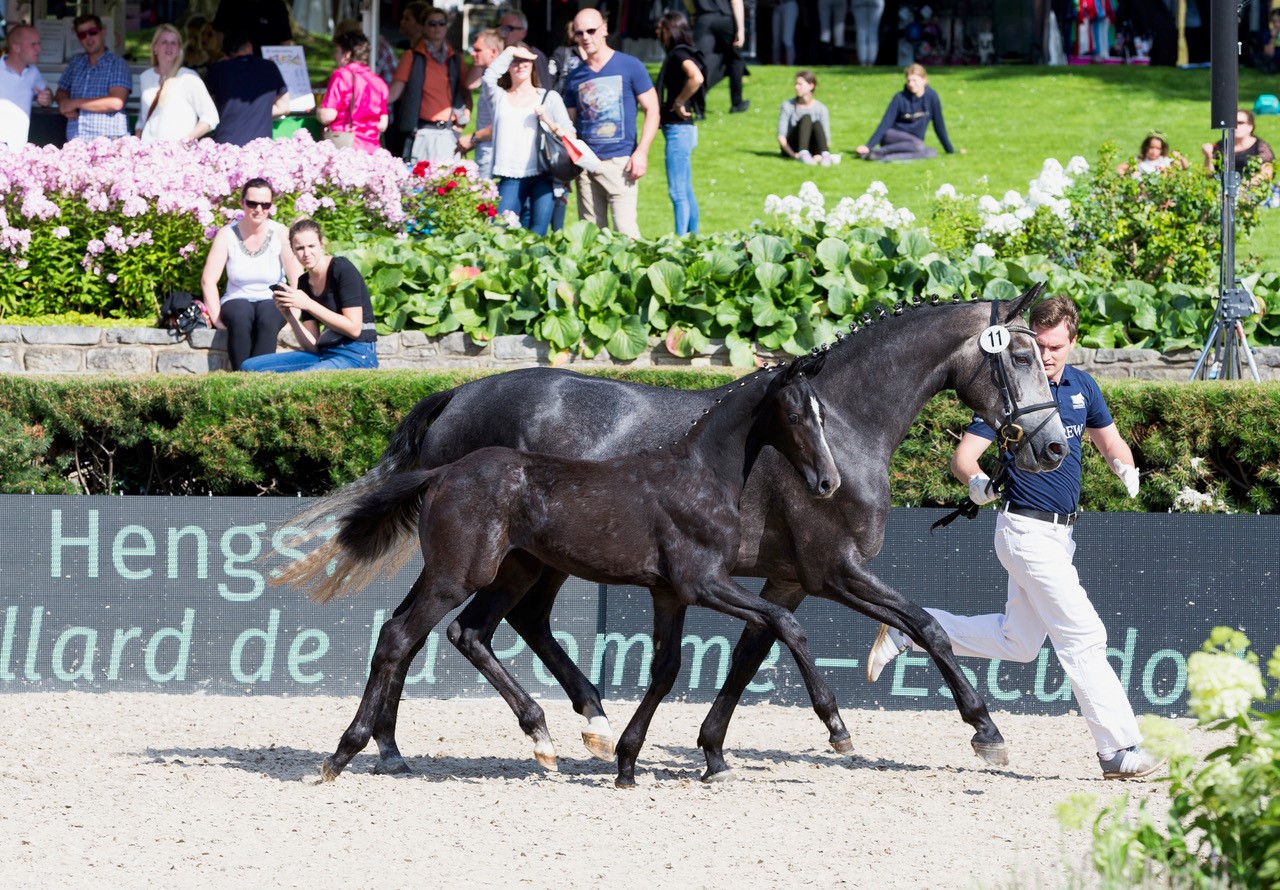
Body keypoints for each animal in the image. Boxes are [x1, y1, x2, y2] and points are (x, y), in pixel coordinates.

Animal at [280, 353, 839, 788]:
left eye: (824, 416)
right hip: (459, 575)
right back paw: (344, 754)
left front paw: (628, 763)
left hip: (509, 572)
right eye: (795, 414)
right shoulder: (704, 583)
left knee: (461, 632)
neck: (697, 475)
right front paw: (836, 727)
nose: (829, 482)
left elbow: (666, 669)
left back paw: (530, 739)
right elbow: (785, 622)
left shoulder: (670, 592)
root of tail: (440, 472)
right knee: (403, 635)